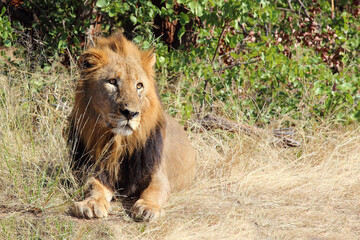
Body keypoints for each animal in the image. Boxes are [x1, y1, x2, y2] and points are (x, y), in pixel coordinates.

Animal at [67, 31, 197, 221]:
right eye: (113, 82)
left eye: (139, 86)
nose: (130, 113)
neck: (120, 142)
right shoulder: (98, 171)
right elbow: (94, 186)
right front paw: (91, 204)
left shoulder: (157, 172)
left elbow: (155, 190)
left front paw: (148, 207)